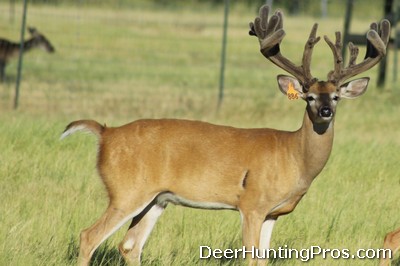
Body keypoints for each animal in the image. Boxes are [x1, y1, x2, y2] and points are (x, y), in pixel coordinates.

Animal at [60, 5, 390, 264]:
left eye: (335, 96)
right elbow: (250, 257)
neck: (294, 155)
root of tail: (106, 133)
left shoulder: (273, 213)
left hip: (156, 199)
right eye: (308, 96)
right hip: (126, 191)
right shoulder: (251, 204)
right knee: (89, 236)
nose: (325, 111)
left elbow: (264, 258)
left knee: (129, 245)